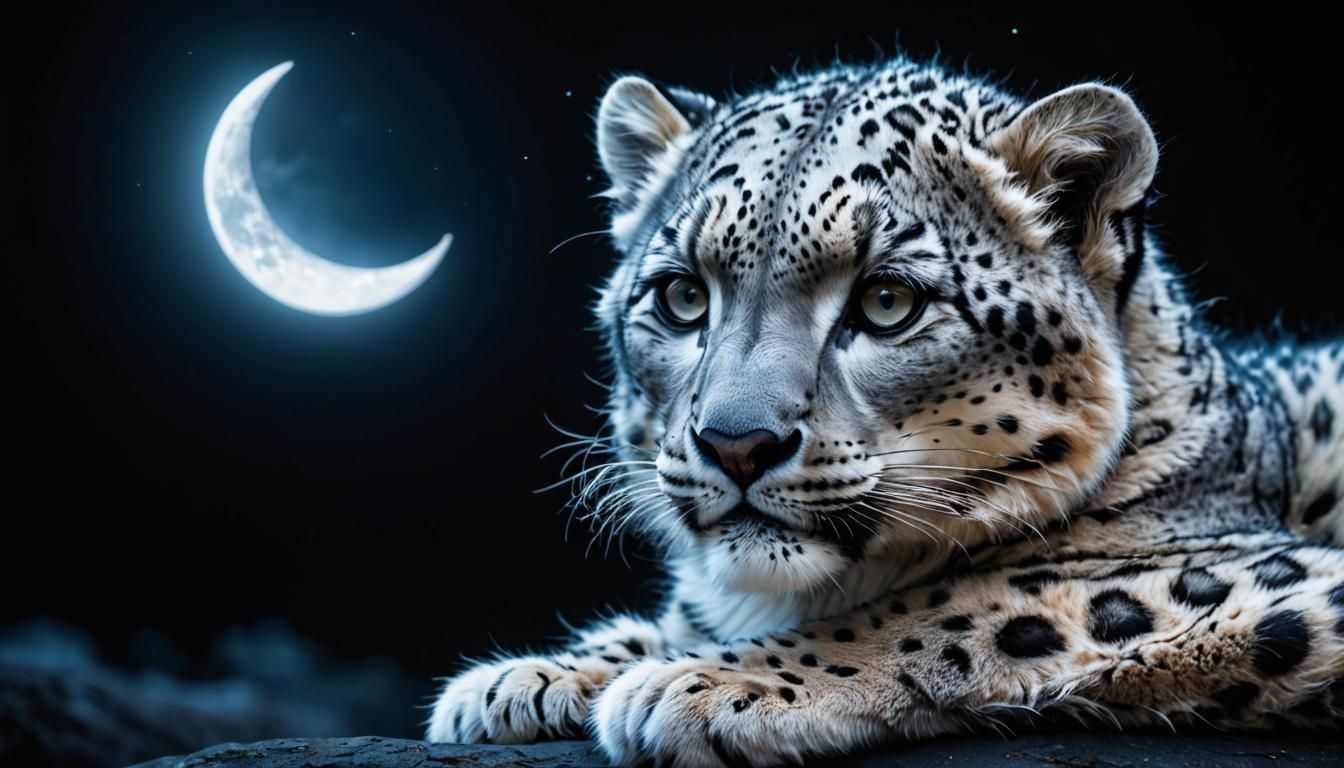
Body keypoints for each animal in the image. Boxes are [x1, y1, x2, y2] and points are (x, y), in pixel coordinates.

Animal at [425, 53, 1344, 767]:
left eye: (888, 301)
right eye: (683, 296)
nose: (736, 443)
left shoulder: (1260, 571)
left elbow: (960, 605)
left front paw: (706, 679)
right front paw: (531, 677)